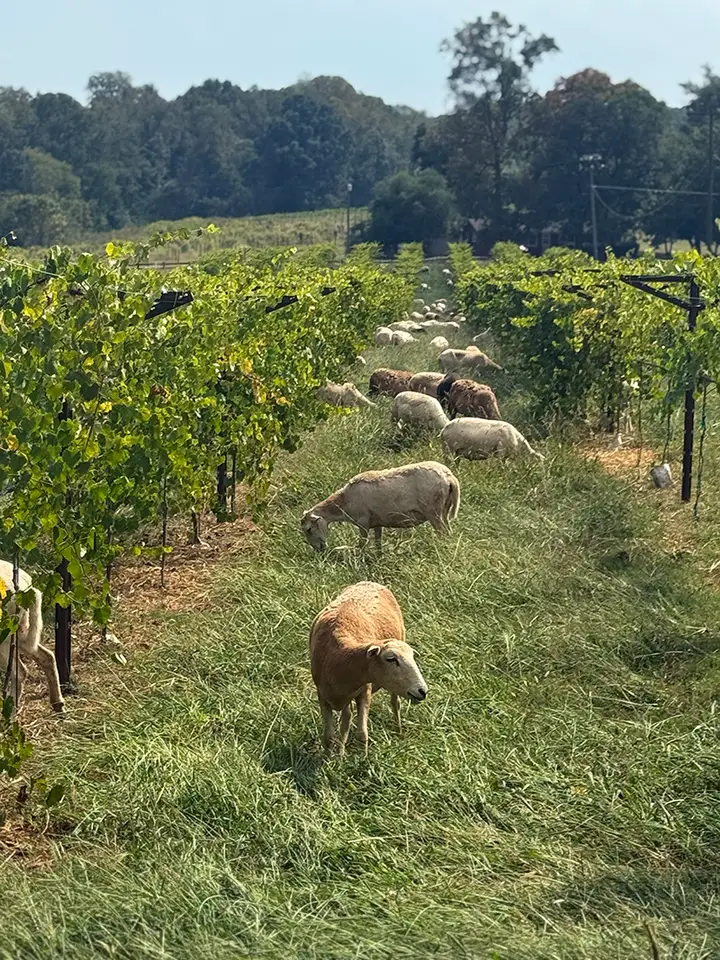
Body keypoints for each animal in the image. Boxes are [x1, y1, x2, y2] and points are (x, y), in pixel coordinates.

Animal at [0, 561, 65, 715]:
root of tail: (29, 589)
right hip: (22, 633)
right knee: (47, 656)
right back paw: (58, 704)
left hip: (6, 635)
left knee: (20, 672)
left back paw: (9, 716)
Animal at [300, 460, 461, 553]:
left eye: (309, 529)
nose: (319, 550)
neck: (344, 502)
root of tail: (449, 477)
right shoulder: (377, 523)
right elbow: (378, 543)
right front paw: (379, 558)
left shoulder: (363, 523)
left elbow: (362, 544)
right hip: (444, 509)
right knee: (448, 531)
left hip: (433, 511)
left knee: (443, 533)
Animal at [309, 581, 427, 755]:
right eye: (391, 659)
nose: (423, 691)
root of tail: (370, 582)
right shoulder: (323, 695)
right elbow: (328, 736)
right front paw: (329, 758)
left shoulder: (365, 691)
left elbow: (362, 734)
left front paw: (363, 758)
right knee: (346, 718)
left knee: (395, 702)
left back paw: (398, 731)